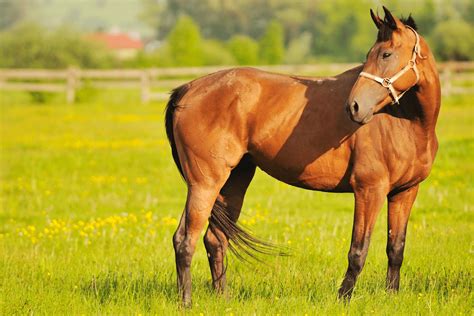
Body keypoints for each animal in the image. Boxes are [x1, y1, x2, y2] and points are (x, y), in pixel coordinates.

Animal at [166, 7, 440, 308]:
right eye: (371, 54)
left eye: (386, 54)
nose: (354, 107)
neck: (406, 122)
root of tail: (187, 90)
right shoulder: (369, 190)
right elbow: (358, 250)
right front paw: (343, 298)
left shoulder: (405, 192)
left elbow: (396, 248)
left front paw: (391, 296)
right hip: (204, 183)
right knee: (185, 239)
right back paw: (186, 303)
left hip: (233, 181)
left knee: (215, 239)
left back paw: (223, 298)